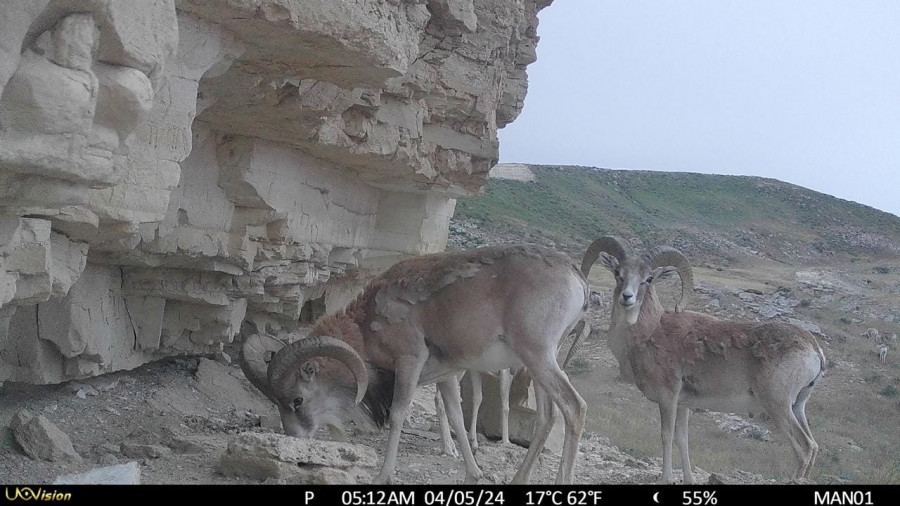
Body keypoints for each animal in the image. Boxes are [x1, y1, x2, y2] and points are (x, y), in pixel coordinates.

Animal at [241, 245, 592, 486]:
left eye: (297, 400)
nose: (295, 439)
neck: (370, 320)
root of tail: (575, 278)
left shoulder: (409, 362)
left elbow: (398, 415)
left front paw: (383, 476)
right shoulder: (448, 376)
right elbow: (455, 417)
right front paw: (473, 473)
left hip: (539, 357)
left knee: (574, 408)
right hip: (538, 365)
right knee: (547, 418)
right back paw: (518, 480)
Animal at [580, 236, 828, 482]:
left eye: (648, 279)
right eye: (618, 273)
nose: (627, 297)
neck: (649, 332)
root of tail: (813, 349)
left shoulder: (668, 398)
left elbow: (666, 436)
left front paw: (665, 478)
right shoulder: (683, 405)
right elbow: (682, 439)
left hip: (778, 406)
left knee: (804, 448)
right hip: (798, 406)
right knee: (814, 446)